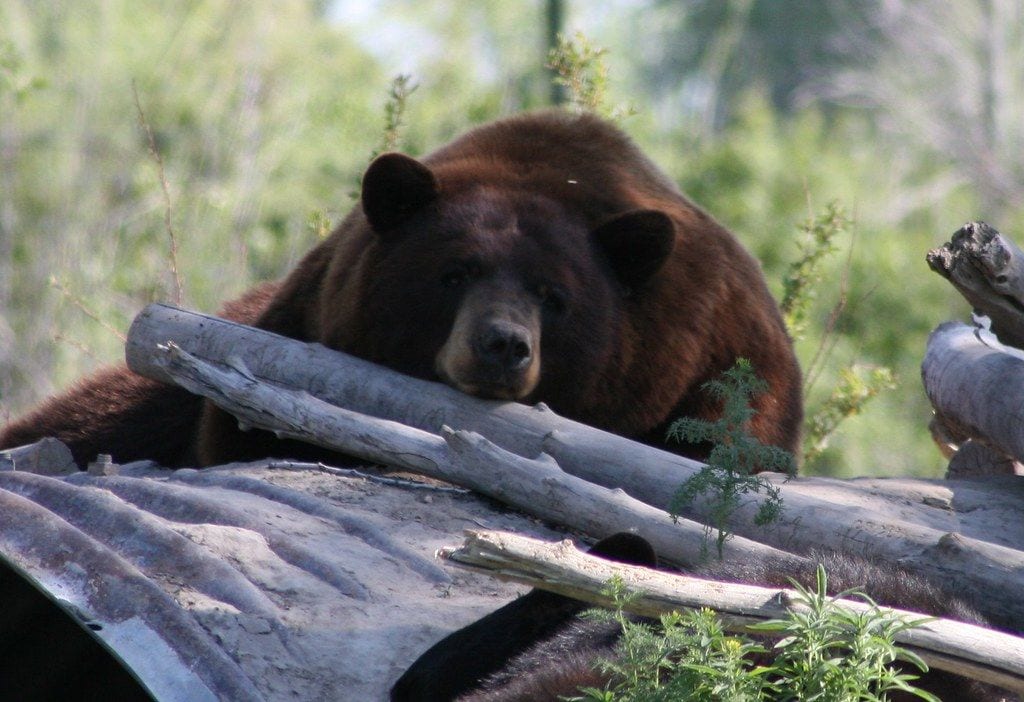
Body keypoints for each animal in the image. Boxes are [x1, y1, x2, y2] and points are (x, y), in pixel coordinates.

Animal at [0, 109, 802, 469]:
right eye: (454, 273)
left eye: (556, 297)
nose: (501, 346)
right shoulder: (299, 320)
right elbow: (241, 434)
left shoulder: (716, 352)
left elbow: (728, 445)